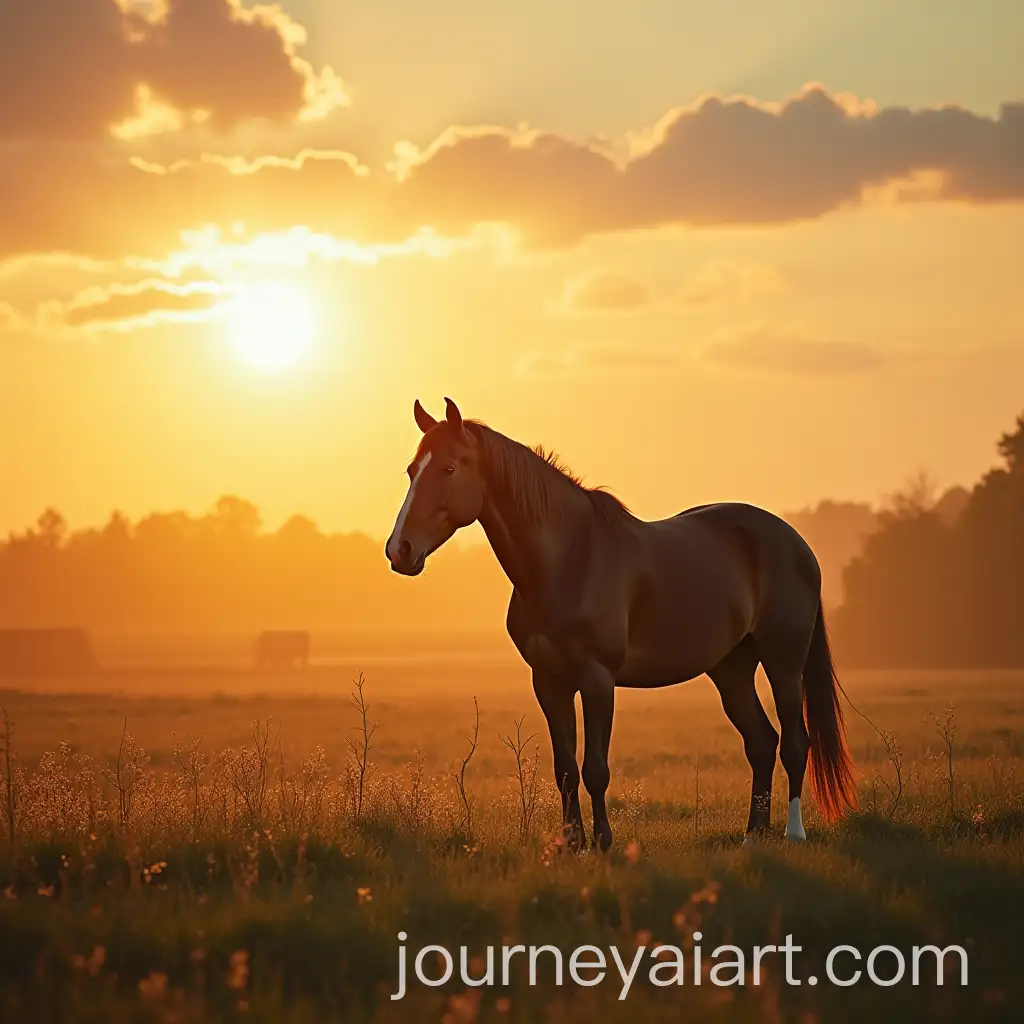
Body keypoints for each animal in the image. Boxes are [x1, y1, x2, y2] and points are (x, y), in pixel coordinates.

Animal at [385, 398, 857, 850]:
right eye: (411, 470)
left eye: (448, 468)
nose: (399, 550)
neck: (568, 561)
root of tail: (795, 542)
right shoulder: (549, 681)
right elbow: (565, 769)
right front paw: (571, 843)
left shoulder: (597, 679)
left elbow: (595, 768)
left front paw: (604, 843)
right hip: (731, 669)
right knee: (761, 743)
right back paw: (752, 837)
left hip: (784, 663)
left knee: (795, 744)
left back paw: (793, 834)